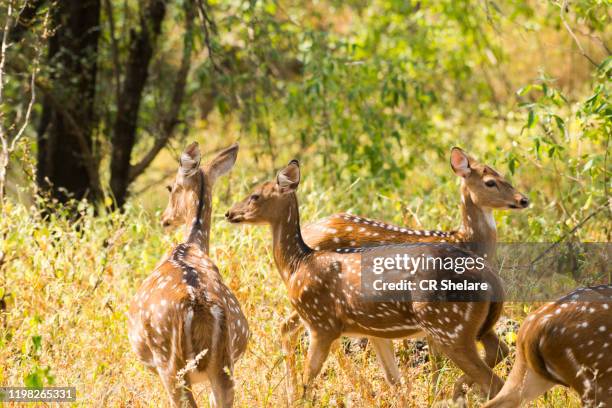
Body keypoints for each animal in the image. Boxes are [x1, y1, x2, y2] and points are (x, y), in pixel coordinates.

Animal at [127, 143, 249, 408]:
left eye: (170, 187)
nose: (165, 219)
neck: (191, 245)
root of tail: (198, 305)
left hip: (169, 363)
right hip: (224, 363)